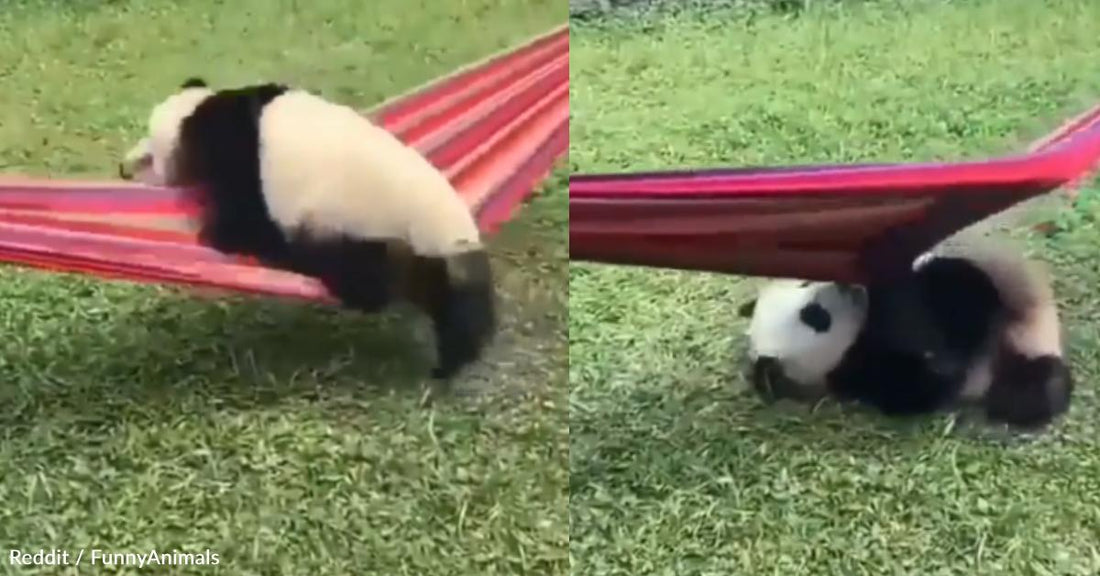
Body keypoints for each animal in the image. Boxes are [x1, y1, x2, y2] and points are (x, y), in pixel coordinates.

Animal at [121, 77, 499, 382]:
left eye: (148, 154)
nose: (125, 169)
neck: (197, 112)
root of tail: (446, 233)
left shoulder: (236, 155)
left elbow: (243, 221)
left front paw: (217, 234)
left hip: (356, 225)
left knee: (359, 274)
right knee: (457, 305)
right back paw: (451, 360)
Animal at [739, 240, 1073, 428]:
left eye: (805, 281)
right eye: (815, 315)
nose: (843, 284)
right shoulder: (867, 375)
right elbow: (925, 385)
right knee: (1032, 392)